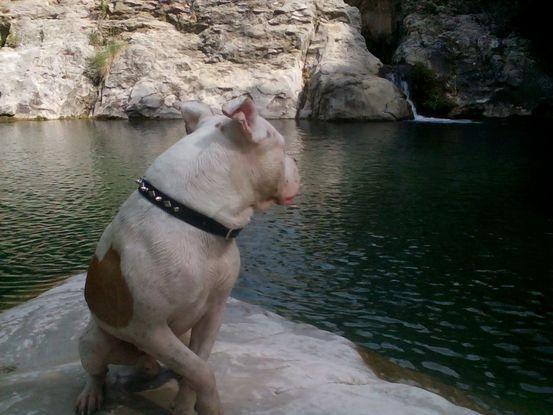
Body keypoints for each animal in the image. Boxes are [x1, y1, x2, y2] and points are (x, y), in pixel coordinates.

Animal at [75, 96, 300, 414]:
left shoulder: (213, 312)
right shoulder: (149, 329)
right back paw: (90, 394)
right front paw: (208, 403)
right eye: (281, 148)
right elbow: (201, 371)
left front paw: (186, 404)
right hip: (95, 341)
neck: (193, 217)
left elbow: (198, 363)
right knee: (97, 370)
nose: (296, 161)